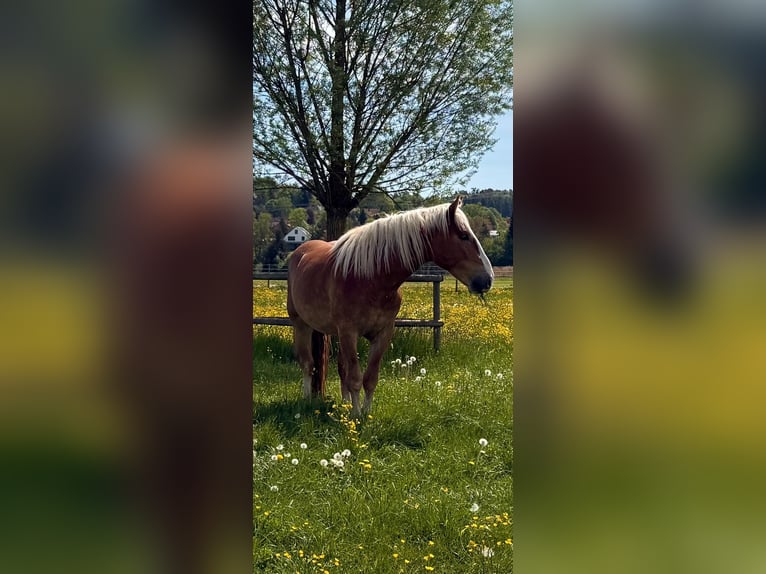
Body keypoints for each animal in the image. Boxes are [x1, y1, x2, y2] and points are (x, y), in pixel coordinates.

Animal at [287, 196, 494, 416]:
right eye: (463, 236)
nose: (487, 279)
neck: (370, 278)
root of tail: (301, 251)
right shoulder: (349, 333)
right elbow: (355, 378)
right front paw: (356, 415)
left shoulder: (383, 333)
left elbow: (370, 378)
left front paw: (365, 413)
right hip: (301, 324)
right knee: (308, 364)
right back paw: (308, 399)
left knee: (340, 367)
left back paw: (344, 404)